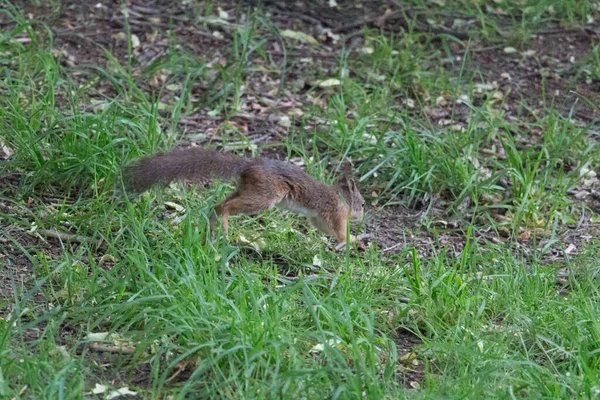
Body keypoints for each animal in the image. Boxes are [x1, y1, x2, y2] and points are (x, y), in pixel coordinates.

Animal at [122, 147, 368, 248]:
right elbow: (340, 231)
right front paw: (354, 240)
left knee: (218, 204)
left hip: (247, 189)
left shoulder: (318, 218)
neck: (342, 197)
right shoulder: (335, 211)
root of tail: (249, 166)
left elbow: (327, 230)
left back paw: (214, 229)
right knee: (227, 206)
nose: (363, 214)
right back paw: (223, 227)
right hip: (263, 197)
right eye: (363, 204)